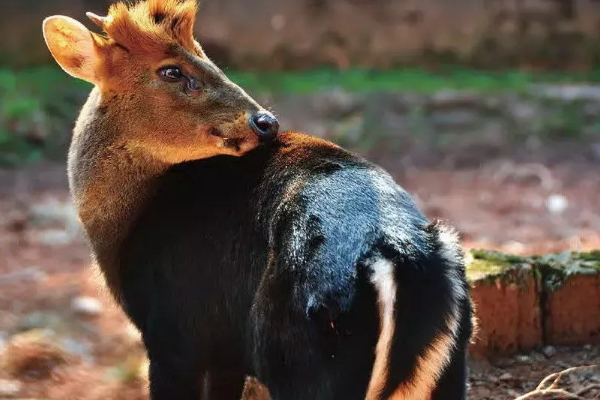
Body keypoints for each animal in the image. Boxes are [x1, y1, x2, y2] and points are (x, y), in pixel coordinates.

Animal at [42, 0, 474, 400]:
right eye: (171, 70)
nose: (265, 121)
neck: (125, 225)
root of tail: (395, 256)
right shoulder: (224, 352)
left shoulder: (172, 334)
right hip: (448, 368)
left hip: (301, 353)